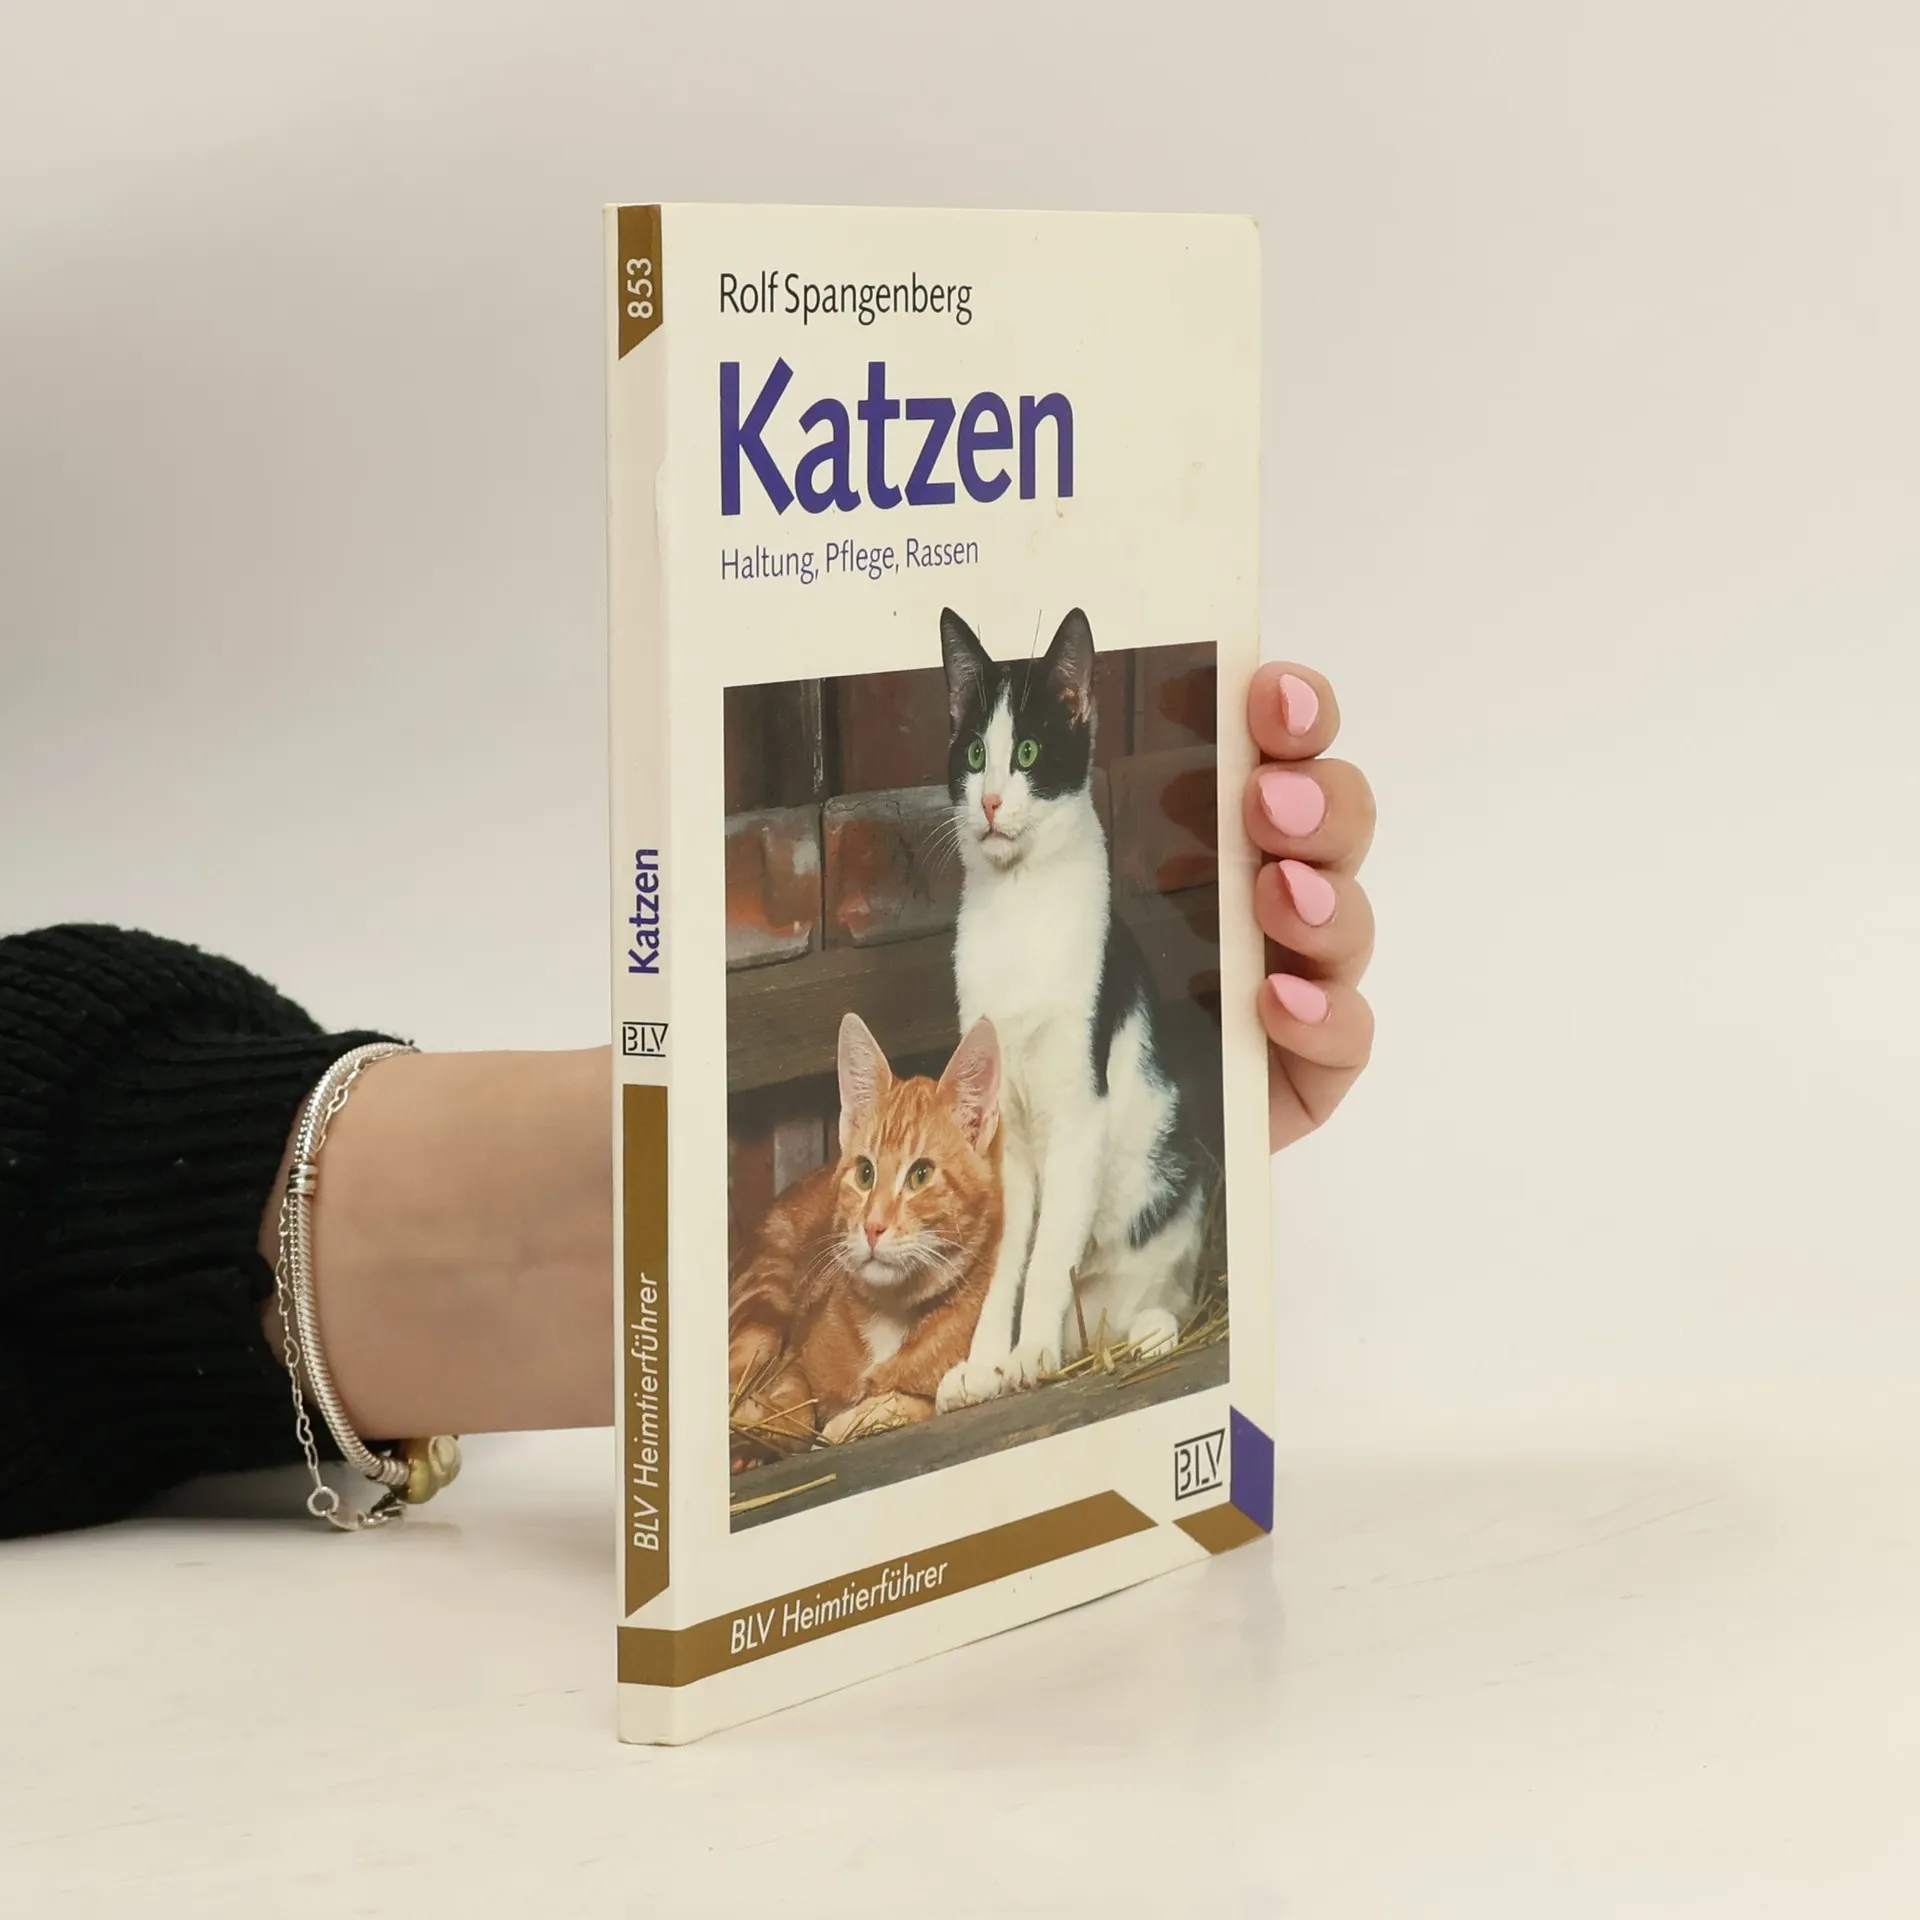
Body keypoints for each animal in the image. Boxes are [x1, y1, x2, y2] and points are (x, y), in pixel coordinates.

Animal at [728, 1011, 1004, 1467]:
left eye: (921, 1175)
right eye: (865, 1173)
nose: (872, 1227)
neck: (890, 1313)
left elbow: (913, 1401)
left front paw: (850, 1421)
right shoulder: (793, 1359)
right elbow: (794, 1404)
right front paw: (767, 1422)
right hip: (762, 1310)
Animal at [933, 606, 1205, 1410]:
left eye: (1027, 750)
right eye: (974, 752)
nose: (991, 801)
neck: (1018, 909)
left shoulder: (1080, 1108)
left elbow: (1050, 1247)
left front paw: (1028, 1356)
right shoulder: (1002, 1133)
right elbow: (1006, 1259)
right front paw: (987, 1364)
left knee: (1159, 1297)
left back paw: (1141, 1332)